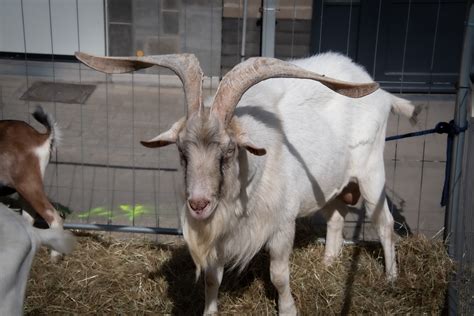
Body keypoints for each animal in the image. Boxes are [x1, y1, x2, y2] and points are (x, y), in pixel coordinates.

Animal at [76, 50, 416, 314]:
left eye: (228, 151)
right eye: (182, 152)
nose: (198, 204)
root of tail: (383, 94)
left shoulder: (281, 225)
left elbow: (279, 275)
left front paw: (288, 310)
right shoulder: (219, 234)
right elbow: (212, 277)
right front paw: (210, 311)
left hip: (371, 171)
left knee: (384, 224)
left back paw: (390, 279)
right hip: (332, 181)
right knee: (335, 218)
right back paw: (329, 263)